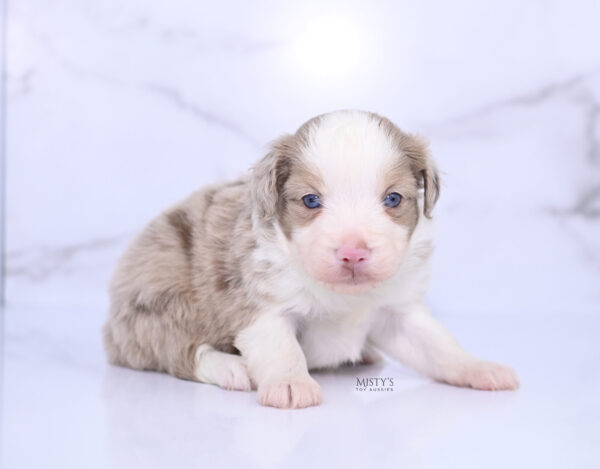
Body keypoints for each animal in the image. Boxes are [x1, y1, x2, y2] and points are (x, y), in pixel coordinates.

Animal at [102, 109, 516, 406]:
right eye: (311, 200)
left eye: (393, 198)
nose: (353, 253)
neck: (343, 297)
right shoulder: (260, 304)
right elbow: (281, 347)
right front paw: (289, 383)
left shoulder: (397, 310)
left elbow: (438, 345)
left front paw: (478, 367)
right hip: (160, 300)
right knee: (179, 350)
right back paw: (231, 368)